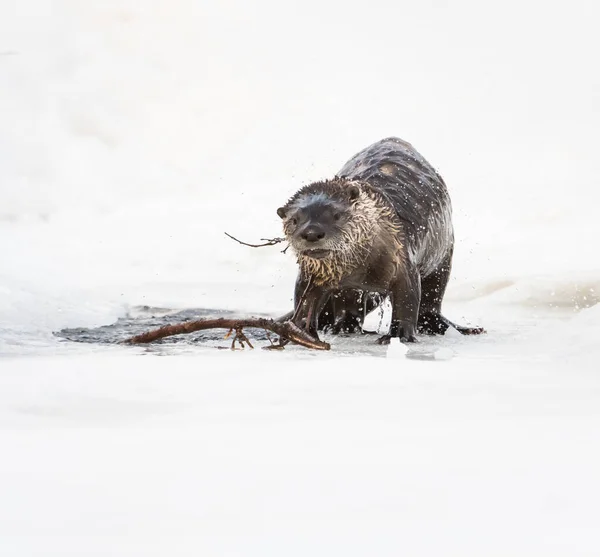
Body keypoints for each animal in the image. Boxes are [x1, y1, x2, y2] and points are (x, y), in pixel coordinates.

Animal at [276, 137, 482, 340]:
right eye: (294, 220)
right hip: (350, 291)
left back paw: (439, 324)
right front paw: (300, 332)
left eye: (336, 215)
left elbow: (407, 297)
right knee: (348, 305)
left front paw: (397, 336)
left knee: (431, 297)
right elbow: (304, 298)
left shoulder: (401, 256)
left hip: (443, 258)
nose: (312, 232)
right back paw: (343, 327)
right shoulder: (310, 275)